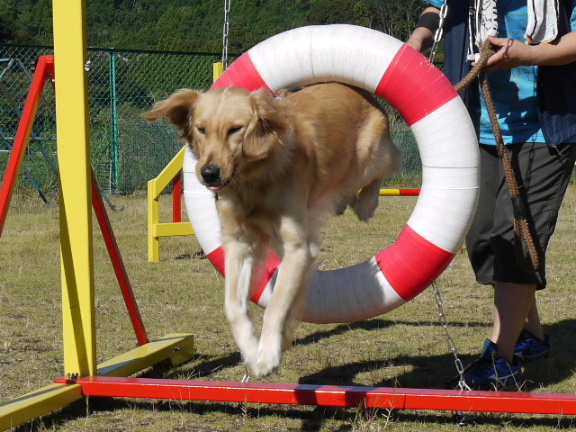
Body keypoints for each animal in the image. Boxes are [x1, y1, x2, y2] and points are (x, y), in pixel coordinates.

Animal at [142, 82, 400, 376]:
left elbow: (276, 303)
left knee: (389, 165)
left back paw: (365, 203)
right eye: (201, 128)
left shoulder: (297, 247)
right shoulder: (240, 244)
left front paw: (267, 355)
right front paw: (253, 349)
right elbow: (234, 305)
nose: (208, 173)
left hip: (370, 158)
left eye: (236, 129)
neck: (253, 181)